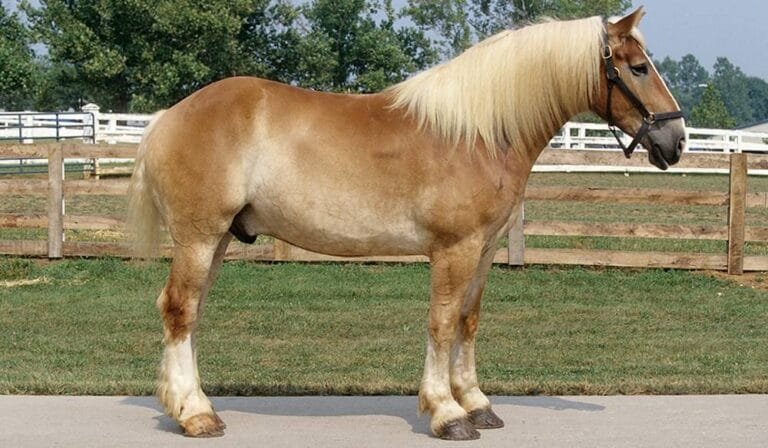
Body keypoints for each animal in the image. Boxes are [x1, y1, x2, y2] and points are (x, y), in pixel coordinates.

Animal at [128, 7, 685, 440]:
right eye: (638, 68)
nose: (675, 141)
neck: (478, 134)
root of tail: (168, 115)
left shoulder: (483, 250)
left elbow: (468, 321)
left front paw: (477, 403)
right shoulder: (454, 250)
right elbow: (442, 323)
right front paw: (447, 412)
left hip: (218, 239)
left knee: (190, 313)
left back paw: (190, 405)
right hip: (199, 238)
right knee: (179, 310)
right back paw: (195, 415)